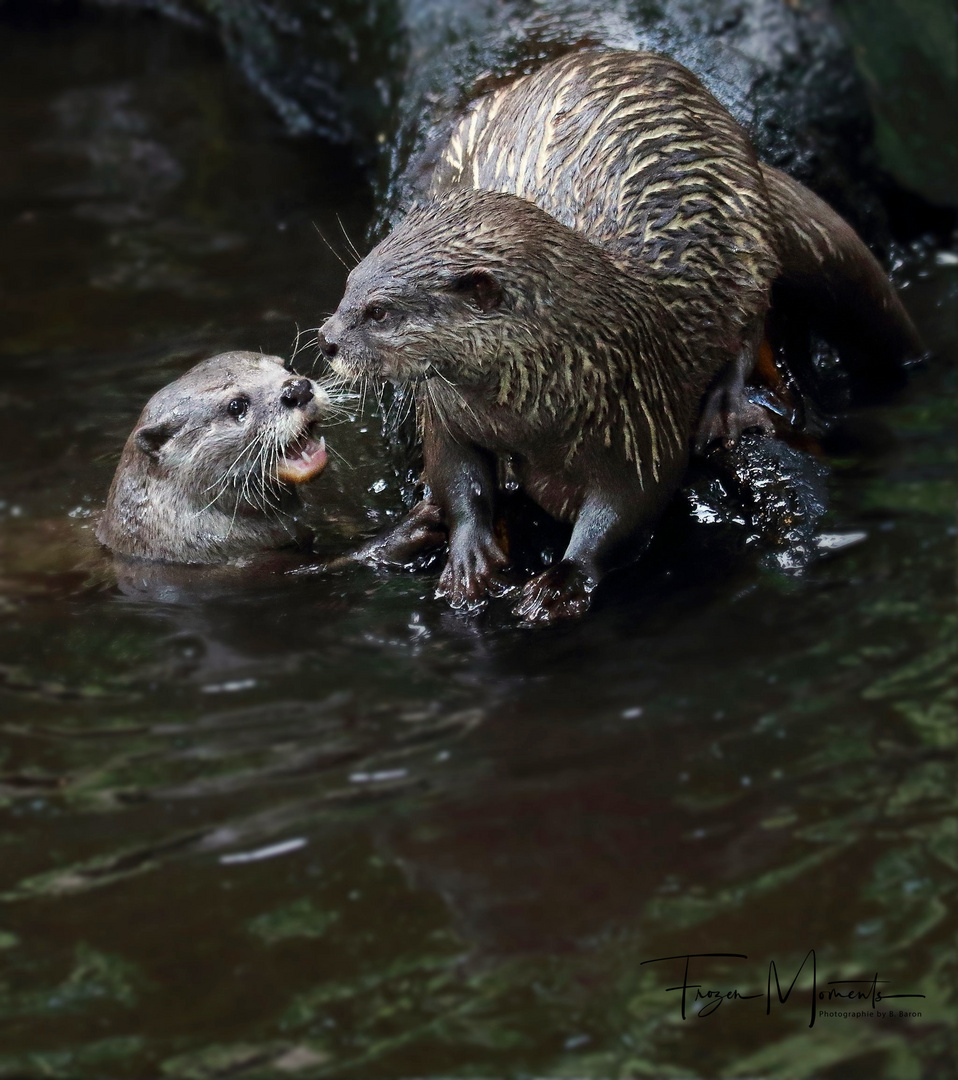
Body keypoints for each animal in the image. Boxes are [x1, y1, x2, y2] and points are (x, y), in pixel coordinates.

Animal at [319, 48, 920, 626]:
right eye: (350, 282)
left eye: (378, 311)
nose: (326, 339)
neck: (534, 405)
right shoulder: (448, 410)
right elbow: (452, 474)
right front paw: (468, 554)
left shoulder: (639, 410)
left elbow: (630, 503)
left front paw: (561, 583)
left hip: (746, 234)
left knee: (753, 317)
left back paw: (726, 405)